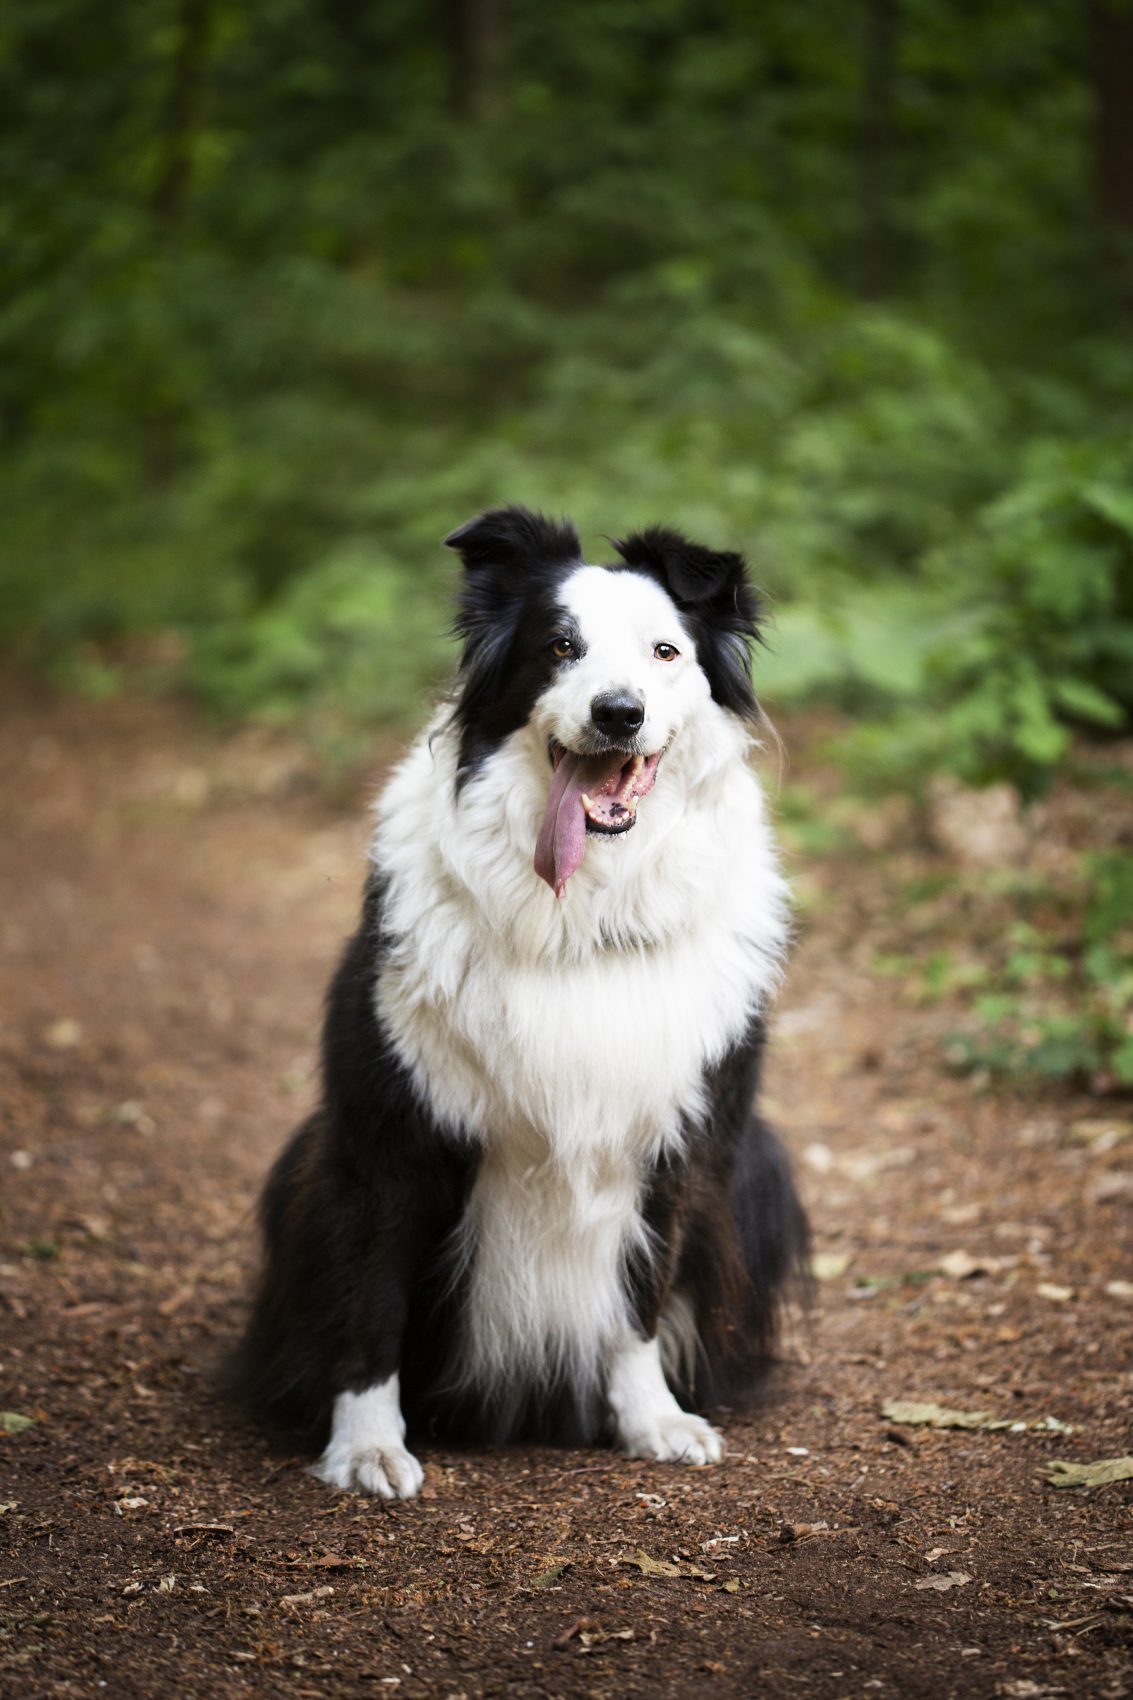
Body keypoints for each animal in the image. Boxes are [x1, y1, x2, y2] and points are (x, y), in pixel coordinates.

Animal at [238, 506, 802, 1502]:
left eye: (664, 650)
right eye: (559, 646)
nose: (618, 713)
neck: (577, 919)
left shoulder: (681, 1135)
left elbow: (640, 1293)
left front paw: (651, 1419)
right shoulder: (385, 1130)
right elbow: (370, 1294)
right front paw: (366, 1445)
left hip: (762, 1166)